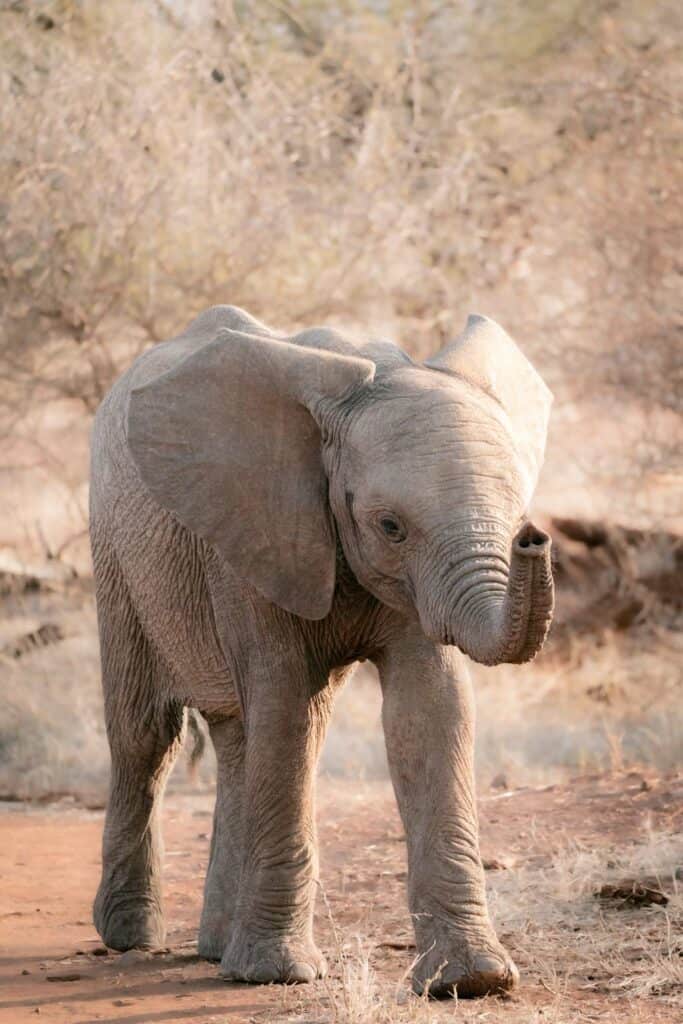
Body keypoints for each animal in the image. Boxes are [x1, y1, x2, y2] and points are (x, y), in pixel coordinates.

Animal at [89, 307, 557, 995]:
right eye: (391, 526)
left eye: (515, 514)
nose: (534, 538)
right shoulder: (260, 532)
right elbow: (287, 709)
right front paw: (277, 975)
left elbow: (430, 711)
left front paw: (471, 982)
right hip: (115, 551)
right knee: (147, 735)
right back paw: (131, 938)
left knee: (236, 735)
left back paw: (215, 950)